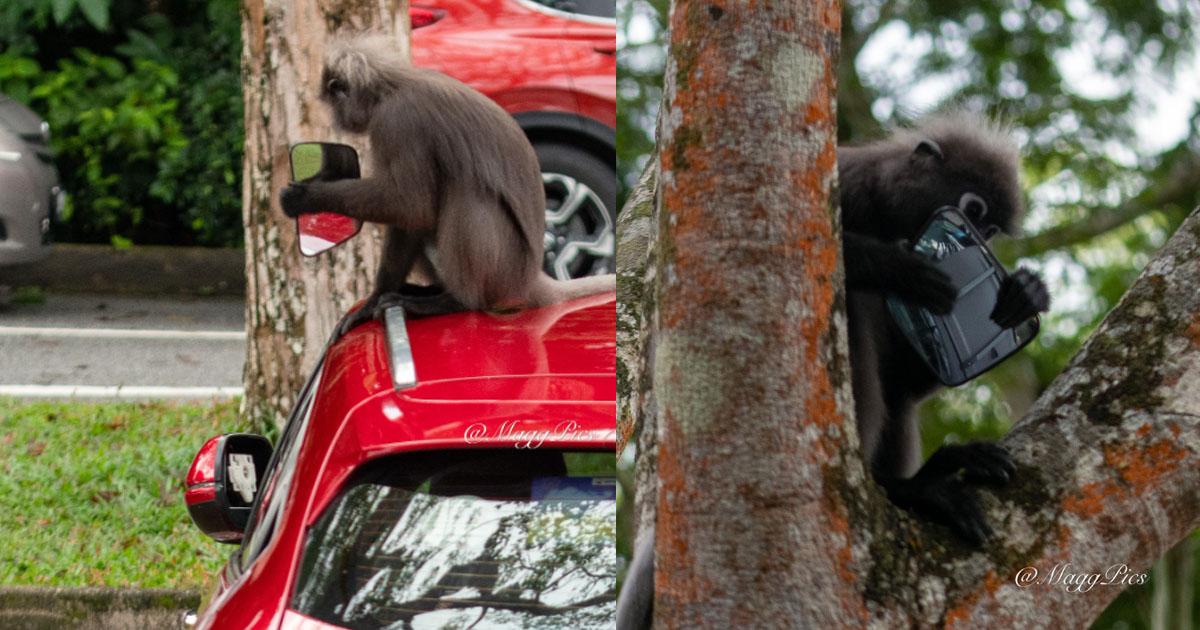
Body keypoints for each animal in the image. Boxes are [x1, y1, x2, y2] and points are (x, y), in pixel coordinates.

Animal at [279, 34, 615, 330]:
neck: (392, 86)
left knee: (467, 192)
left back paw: (454, 301)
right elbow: (411, 217)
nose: (336, 120)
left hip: (506, 268)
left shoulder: (397, 122)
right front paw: (375, 299)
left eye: (334, 103)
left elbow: (409, 205)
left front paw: (308, 196)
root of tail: (532, 278)